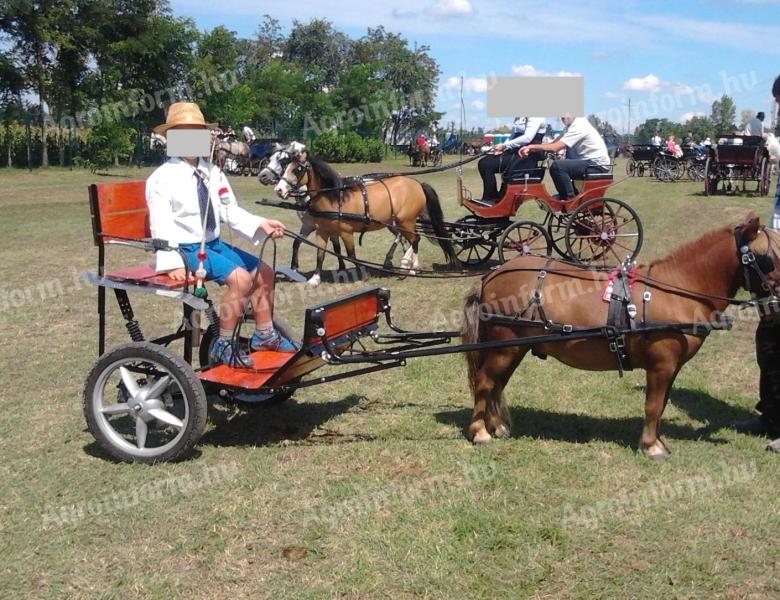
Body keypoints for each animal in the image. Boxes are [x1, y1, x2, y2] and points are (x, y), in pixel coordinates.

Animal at [274, 144, 460, 288]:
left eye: (298, 169)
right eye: (286, 167)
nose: (279, 190)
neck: (335, 198)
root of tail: (418, 184)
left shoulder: (346, 232)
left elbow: (351, 254)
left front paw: (361, 274)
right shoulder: (322, 231)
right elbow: (321, 254)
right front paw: (315, 279)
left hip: (406, 221)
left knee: (414, 240)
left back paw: (409, 266)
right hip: (399, 222)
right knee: (410, 240)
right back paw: (410, 265)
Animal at [464, 214, 780, 460]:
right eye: (768, 258)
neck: (676, 290)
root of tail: (491, 276)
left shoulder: (672, 367)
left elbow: (662, 405)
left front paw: (656, 441)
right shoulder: (661, 365)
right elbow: (653, 405)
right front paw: (651, 447)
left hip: (513, 348)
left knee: (497, 384)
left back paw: (497, 426)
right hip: (504, 346)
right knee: (485, 381)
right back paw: (480, 432)